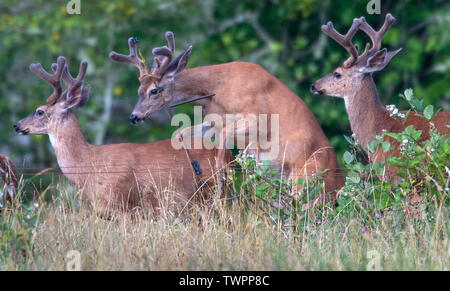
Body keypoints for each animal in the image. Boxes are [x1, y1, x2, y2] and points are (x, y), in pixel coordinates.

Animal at [14, 56, 229, 221]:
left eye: (40, 111)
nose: (17, 125)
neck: (89, 164)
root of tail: (226, 154)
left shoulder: (125, 207)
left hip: (211, 196)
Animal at [109, 32, 344, 205]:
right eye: (139, 89)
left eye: (155, 90)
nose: (134, 116)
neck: (217, 90)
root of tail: (341, 176)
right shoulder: (214, 120)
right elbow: (182, 133)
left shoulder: (256, 117)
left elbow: (224, 137)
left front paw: (222, 175)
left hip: (308, 178)